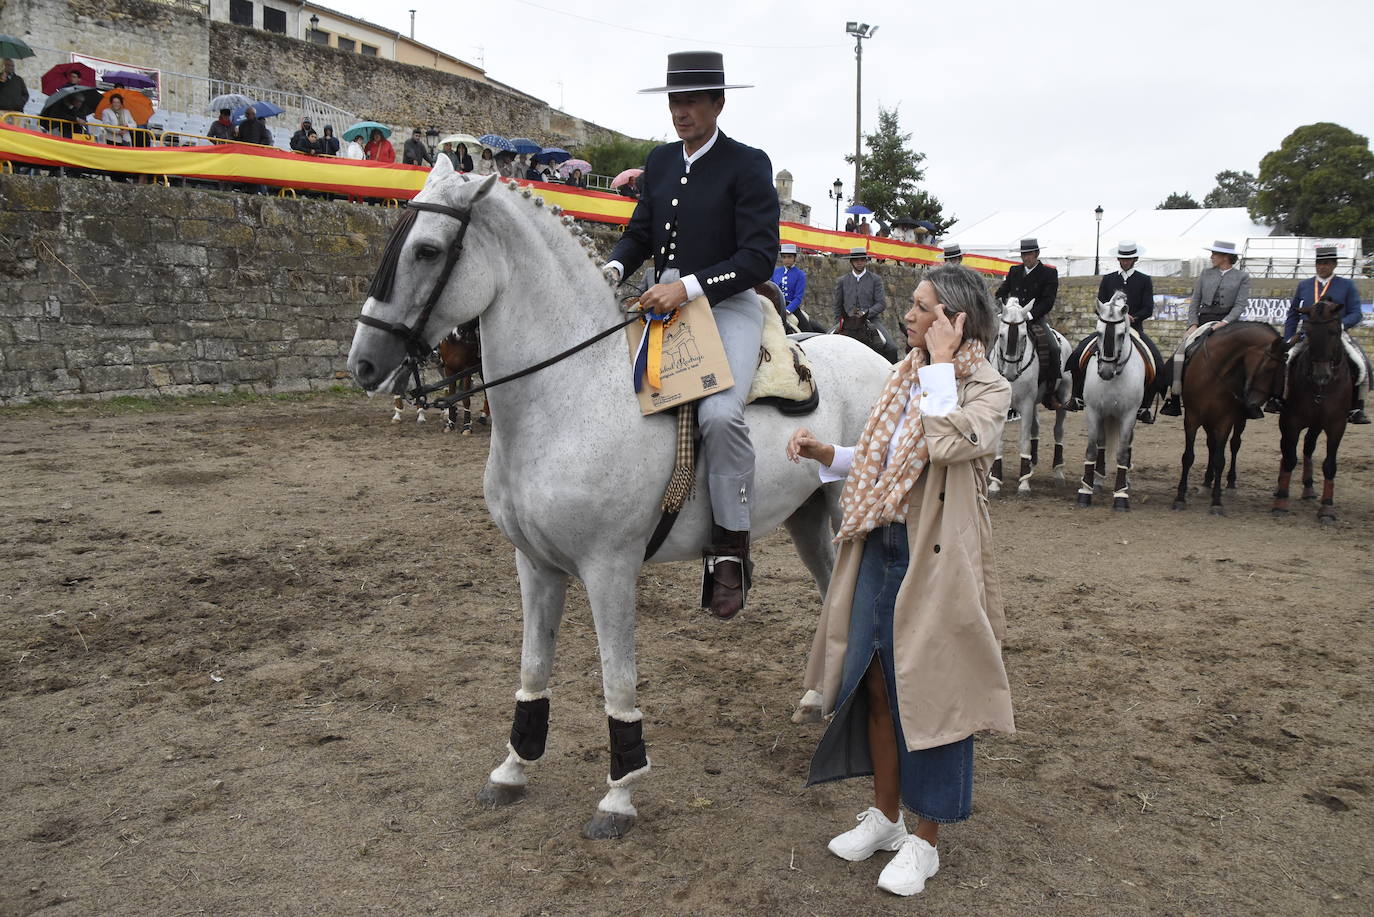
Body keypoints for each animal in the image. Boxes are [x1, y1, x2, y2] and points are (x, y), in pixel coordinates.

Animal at [989, 298, 1071, 494]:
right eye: (1001, 335)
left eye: (1023, 336)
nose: (1011, 373)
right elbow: (999, 443)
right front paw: (995, 482)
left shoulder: (1026, 405)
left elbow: (1024, 440)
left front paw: (1024, 484)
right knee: (1036, 428)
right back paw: (1030, 465)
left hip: (1062, 397)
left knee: (1058, 431)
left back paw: (1058, 472)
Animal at [1170, 318, 1286, 514]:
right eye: (1269, 368)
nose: (1251, 402)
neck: (1214, 370)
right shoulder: (1192, 417)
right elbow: (1188, 456)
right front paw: (1179, 498)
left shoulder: (1225, 420)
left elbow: (1220, 459)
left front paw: (1216, 502)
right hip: (1208, 419)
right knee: (1211, 444)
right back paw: (1207, 482)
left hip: (1237, 420)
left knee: (1234, 444)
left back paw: (1230, 484)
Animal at [1269, 301, 1346, 522]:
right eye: (1307, 332)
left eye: (1334, 331)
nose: (1322, 375)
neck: (1319, 389)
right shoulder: (1290, 421)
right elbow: (1289, 457)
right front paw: (1281, 501)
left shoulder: (1337, 425)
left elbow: (1329, 464)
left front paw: (1327, 508)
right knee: (1291, 449)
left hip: (1317, 424)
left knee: (1308, 448)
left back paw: (1309, 489)